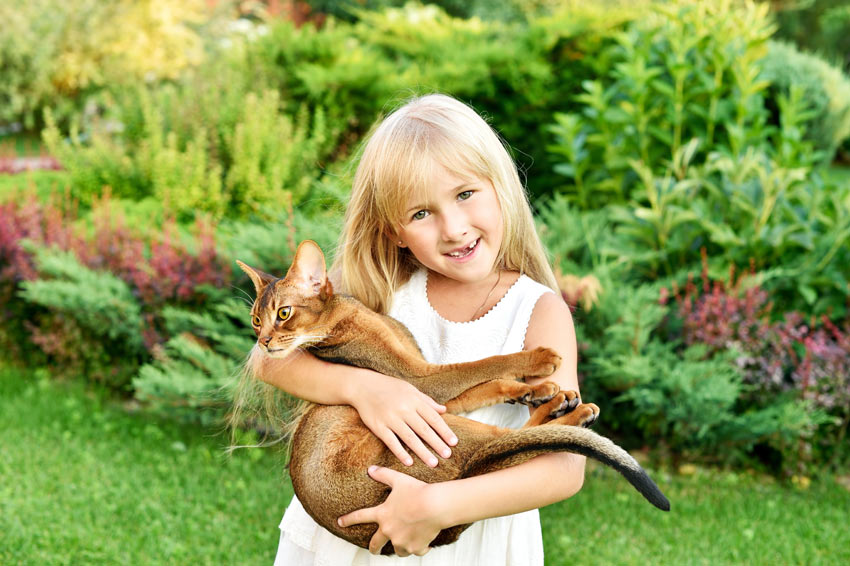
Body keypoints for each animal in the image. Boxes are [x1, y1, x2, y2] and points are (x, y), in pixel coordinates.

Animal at [238, 242, 668, 556]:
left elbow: (485, 384)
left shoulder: (429, 391)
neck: (349, 317)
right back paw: (571, 413)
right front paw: (539, 361)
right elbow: (484, 364)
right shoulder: (420, 384)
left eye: (283, 313)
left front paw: (528, 388)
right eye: (257, 321)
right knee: (507, 442)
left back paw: (553, 400)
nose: (262, 343)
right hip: (443, 433)